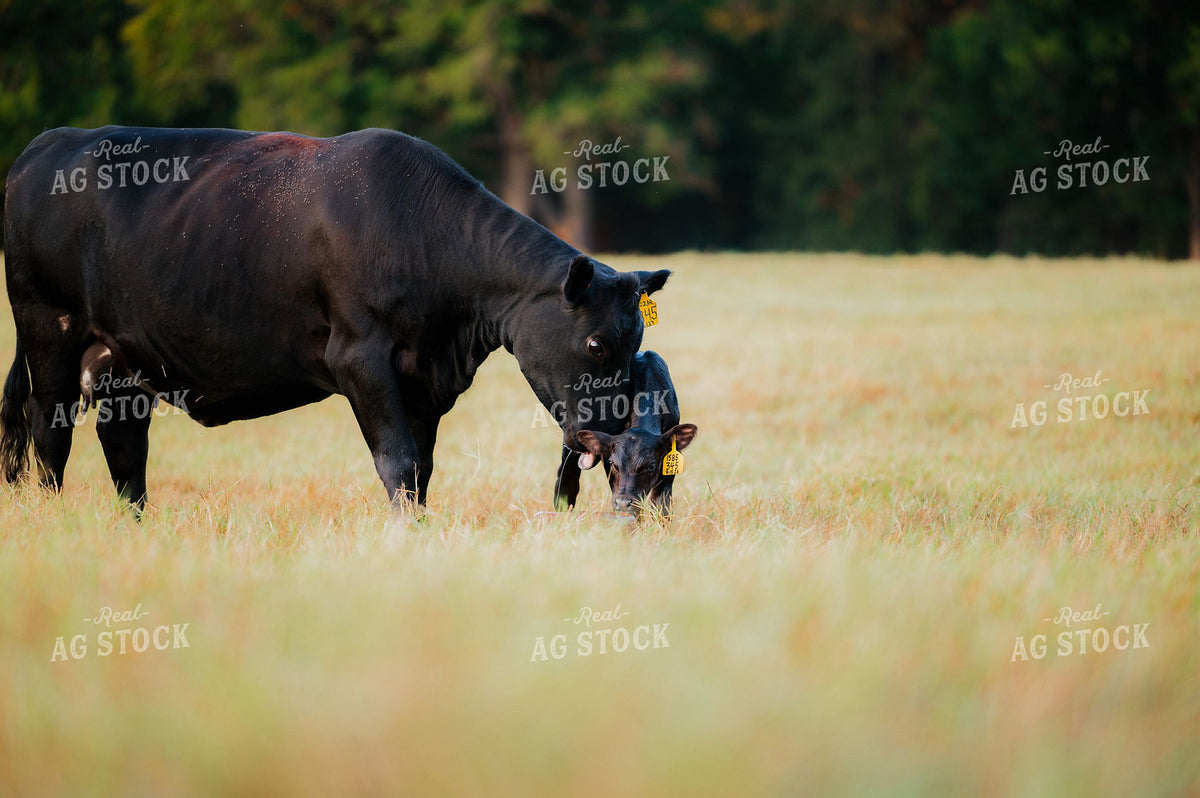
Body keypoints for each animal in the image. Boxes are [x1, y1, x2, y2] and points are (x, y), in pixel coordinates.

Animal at [0, 125, 670, 511]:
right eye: (596, 344)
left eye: (637, 340)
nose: (612, 433)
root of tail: (44, 145)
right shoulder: (359, 356)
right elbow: (396, 460)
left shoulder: (423, 377)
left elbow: (422, 466)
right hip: (48, 327)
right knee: (47, 427)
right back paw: (54, 514)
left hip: (120, 359)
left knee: (122, 441)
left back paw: (135, 520)